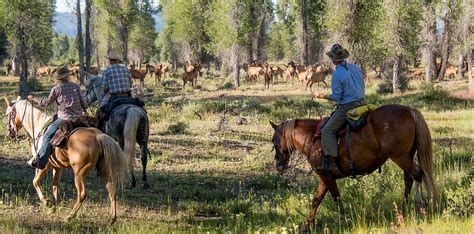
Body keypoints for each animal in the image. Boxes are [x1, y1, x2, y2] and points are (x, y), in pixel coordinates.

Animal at [270, 103, 436, 230]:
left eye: (274, 140)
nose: (279, 165)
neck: (312, 139)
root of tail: (409, 110)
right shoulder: (324, 177)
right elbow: (316, 200)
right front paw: (307, 225)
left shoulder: (326, 176)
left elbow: (336, 199)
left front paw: (344, 221)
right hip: (407, 155)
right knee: (409, 178)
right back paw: (403, 208)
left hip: (399, 156)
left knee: (417, 174)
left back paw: (420, 205)